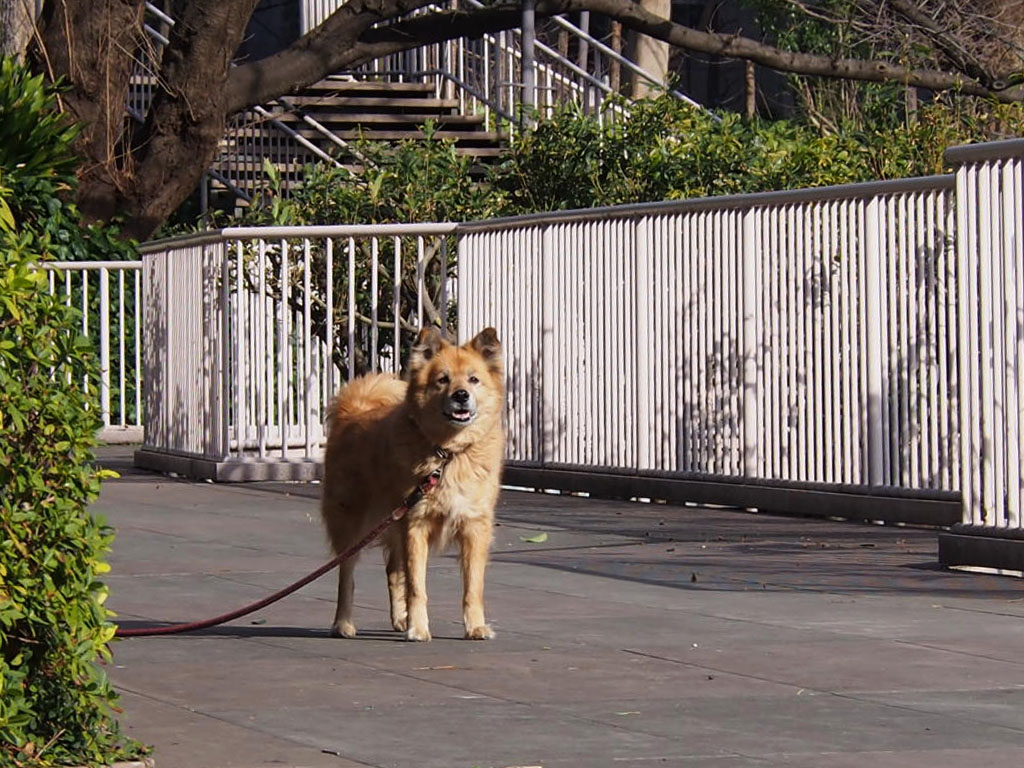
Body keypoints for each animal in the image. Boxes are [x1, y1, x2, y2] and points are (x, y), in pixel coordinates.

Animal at [321, 327, 505, 638]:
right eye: (442, 379)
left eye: (473, 379)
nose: (461, 395)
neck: (448, 453)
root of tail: (354, 409)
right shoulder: (415, 524)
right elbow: (417, 586)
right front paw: (418, 628)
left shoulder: (474, 527)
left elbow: (473, 586)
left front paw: (476, 626)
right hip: (352, 525)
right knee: (346, 576)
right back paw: (343, 624)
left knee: (393, 571)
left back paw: (399, 619)